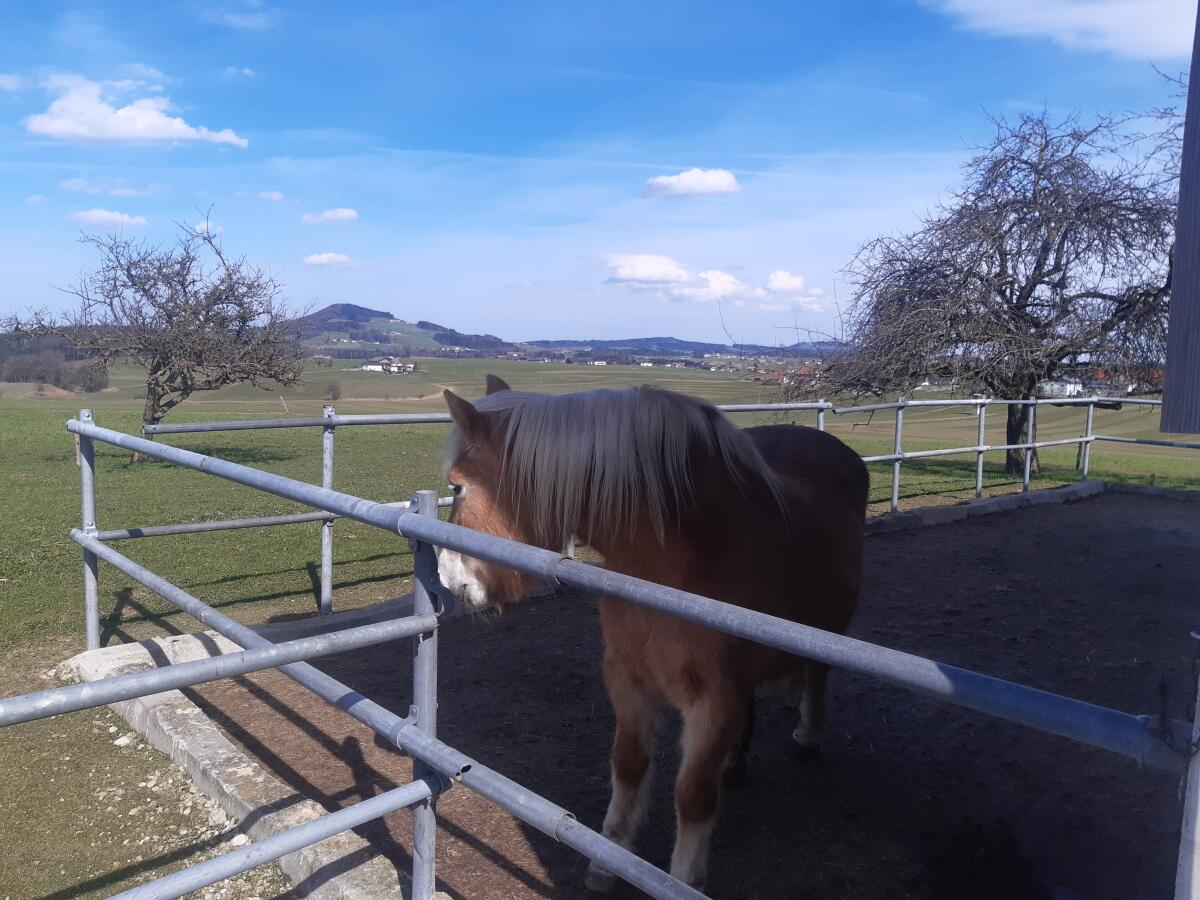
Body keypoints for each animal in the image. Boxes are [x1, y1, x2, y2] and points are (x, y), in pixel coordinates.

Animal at [435, 375, 868, 891]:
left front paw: (681, 879)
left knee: (818, 676)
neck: (679, 565)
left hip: (825, 631)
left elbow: (693, 795)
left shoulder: (713, 700)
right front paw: (609, 858)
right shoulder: (626, 677)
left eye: (458, 486)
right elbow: (628, 764)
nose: (448, 579)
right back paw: (736, 760)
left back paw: (807, 737)